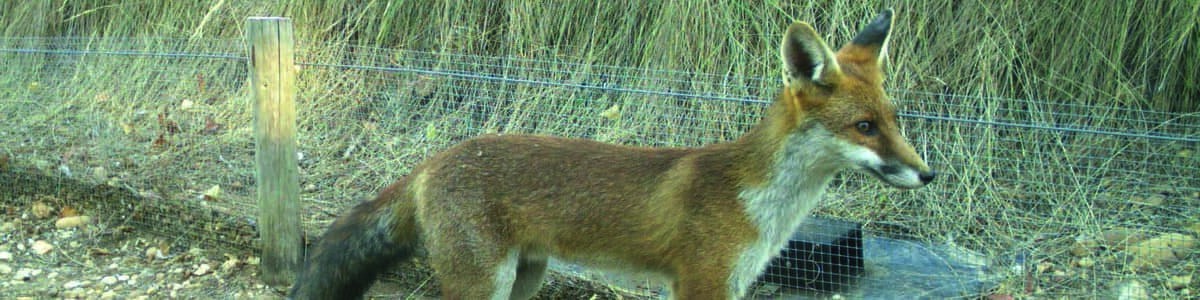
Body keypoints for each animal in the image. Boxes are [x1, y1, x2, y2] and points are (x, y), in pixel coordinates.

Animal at [288, 9, 926, 300]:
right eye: (864, 127)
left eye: (895, 122)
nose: (928, 173)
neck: (760, 205)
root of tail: (434, 161)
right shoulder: (701, 283)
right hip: (485, 282)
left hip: (526, 277)